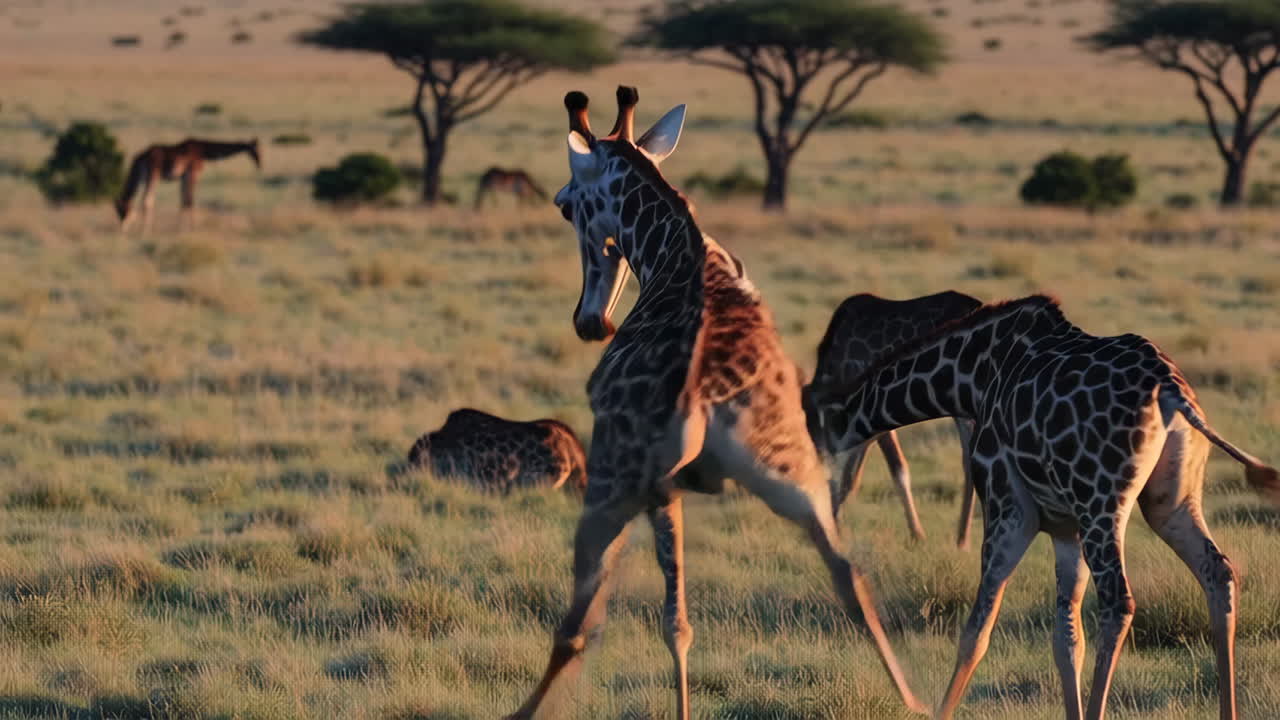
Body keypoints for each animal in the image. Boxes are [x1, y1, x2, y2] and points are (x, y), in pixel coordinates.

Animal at [115, 138, 260, 233]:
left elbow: (183, 201)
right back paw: (145, 230)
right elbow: (190, 200)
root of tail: (141, 156)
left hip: (145, 177)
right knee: (147, 200)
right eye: (256, 150)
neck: (203, 150)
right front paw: (193, 228)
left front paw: (179, 228)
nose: (260, 163)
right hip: (152, 176)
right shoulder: (193, 173)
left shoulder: (184, 177)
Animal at [504, 86, 926, 720]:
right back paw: (920, 704)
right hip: (791, 474)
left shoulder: (641, 480)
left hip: (614, 482)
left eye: (563, 206)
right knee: (850, 578)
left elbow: (619, 612)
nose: (590, 322)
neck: (678, 250)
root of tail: (699, 396)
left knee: (585, 623)